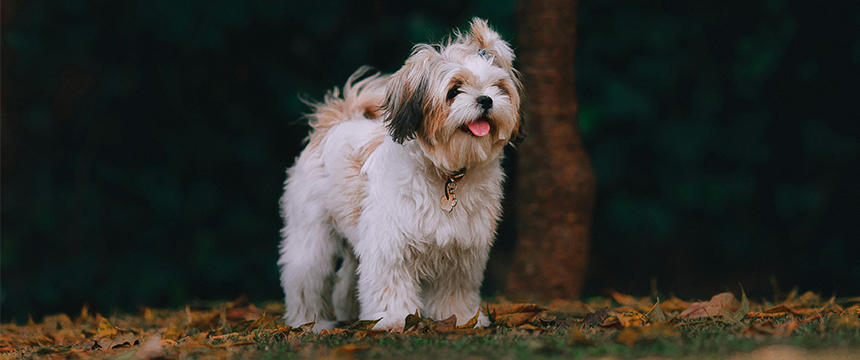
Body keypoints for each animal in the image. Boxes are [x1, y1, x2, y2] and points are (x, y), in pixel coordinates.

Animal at [280, 18, 524, 330]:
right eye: (454, 90)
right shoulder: (389, 246)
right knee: (306, 279)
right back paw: (310, 322)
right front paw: (393, 319)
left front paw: (460, 318)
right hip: (312, 238)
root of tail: (337, 122)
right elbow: (390, 286)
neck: (446, 173)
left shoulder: (460, 253)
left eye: (499, 87)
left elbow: (454, 290)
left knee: (346, 279)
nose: (486, 100)